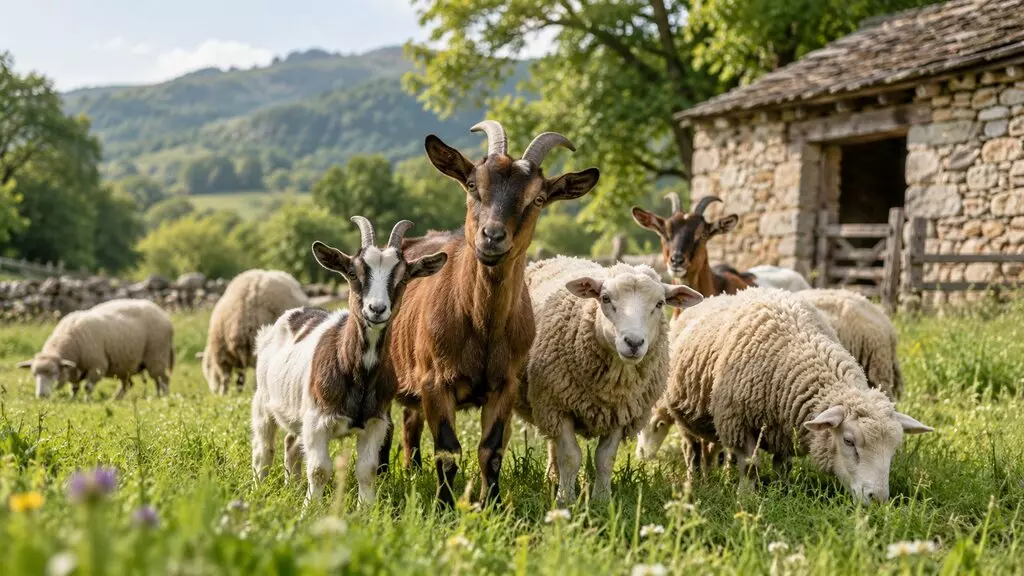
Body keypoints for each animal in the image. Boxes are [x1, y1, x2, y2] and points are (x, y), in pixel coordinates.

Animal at [17, 298, 174, 400]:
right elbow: (74, 387)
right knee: (133, 383)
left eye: (54, 373)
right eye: (34, 374)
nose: (42, 396)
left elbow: (88, 387)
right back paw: (118, 398)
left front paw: (87, 400)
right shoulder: (74, 370)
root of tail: (164, 315)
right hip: (127, 365)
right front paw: (73, 399)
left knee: (163, 378)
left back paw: (164, 397)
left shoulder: (97, 366)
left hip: (157, 354)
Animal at [251, 217, 447, 505]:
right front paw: (310, 508)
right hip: (263, 401)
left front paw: (367, 508)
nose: (376, 309)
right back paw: (259, 488)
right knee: (263, 448)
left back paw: (292, 486)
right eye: (353, 273)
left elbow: (366, 470)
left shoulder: (376, 422)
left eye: (403, 278)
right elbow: (319, 470)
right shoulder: (317, 421)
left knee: (290, 444)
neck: (357, 373)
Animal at [388, 121, 601, 506]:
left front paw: (494, 504)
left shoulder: (505, 384)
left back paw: (412, 472)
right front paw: (443, 505)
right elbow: (448, 451)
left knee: (411, 423)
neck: (481, 325)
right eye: (473, 184)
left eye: (538, 198)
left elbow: (491, 451)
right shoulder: (434, 381)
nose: (492, 237)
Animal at [515, 256, 702, 503]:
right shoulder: (557, 404)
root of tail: (559, 257)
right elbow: (570, 457)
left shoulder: (622, 413)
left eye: (660, 303)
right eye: (605, 298)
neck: (612, 385)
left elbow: (605, 458)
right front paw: (566, 499)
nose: (633, 342)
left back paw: (552, 477)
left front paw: (602, 499)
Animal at [636, 288, 932, 505]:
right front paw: (747, 497)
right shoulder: (738, 421)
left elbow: (782, 465)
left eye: (893, 448)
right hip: (686, 417)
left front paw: (782, 490)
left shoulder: (784, 426)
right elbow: (751, 464)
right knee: (693, 448)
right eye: (848, 441)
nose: (878, 499)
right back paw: (696, 478)